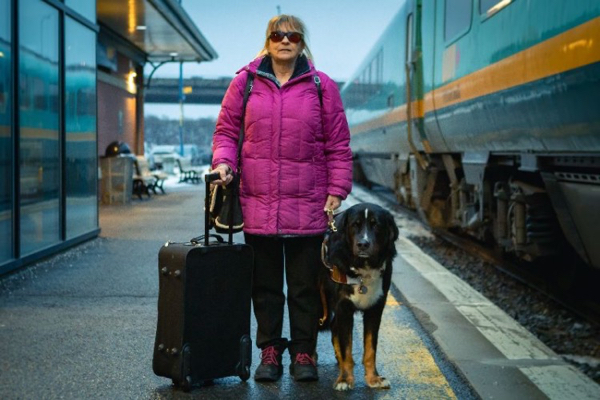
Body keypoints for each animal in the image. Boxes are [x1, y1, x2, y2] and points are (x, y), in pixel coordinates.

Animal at [318, 203, 398, 390]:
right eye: (355, 224)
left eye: (376, 225)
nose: (363, 244)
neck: (363, 268)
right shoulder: (344, 308)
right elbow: (347, 347)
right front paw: (345, 379)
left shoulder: (375, 309)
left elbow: (370, 348)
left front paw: (373, 378)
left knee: (334, 328)